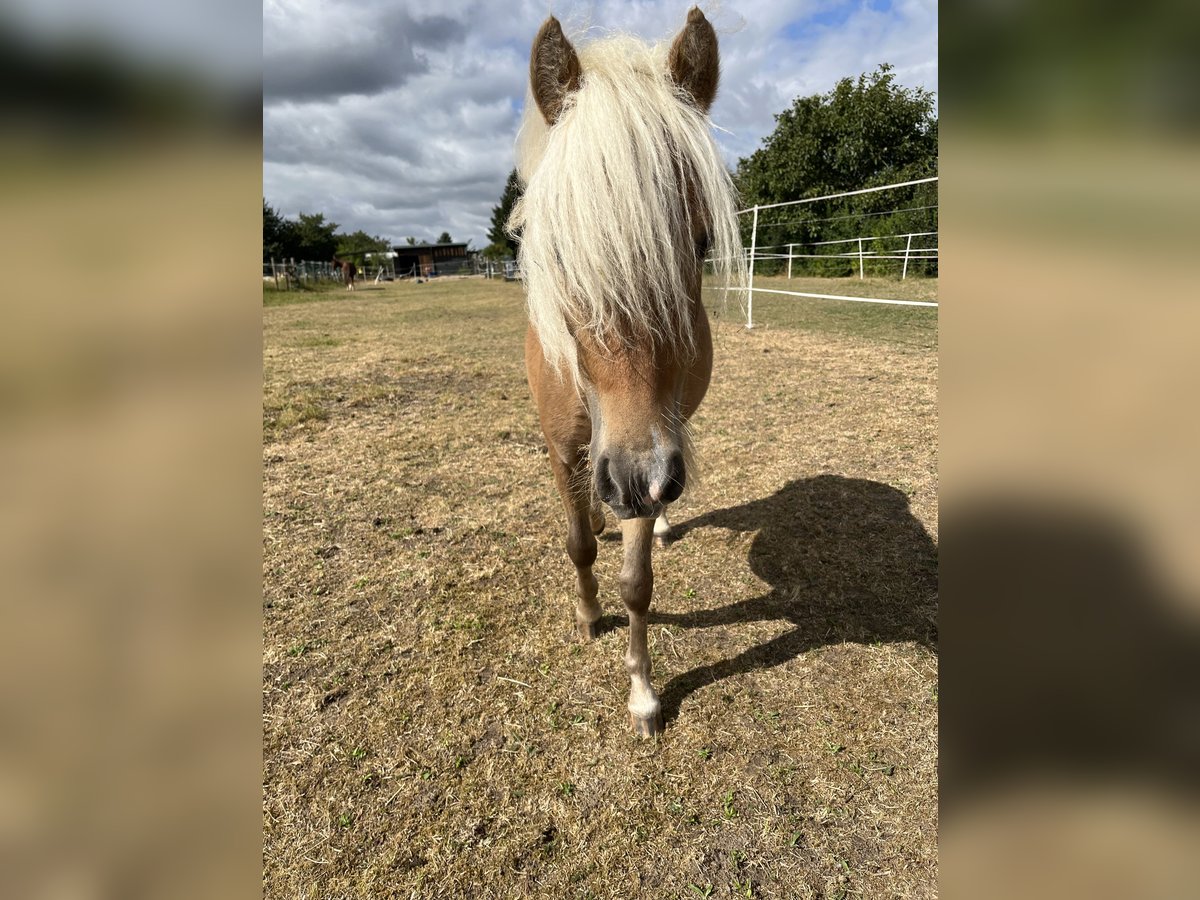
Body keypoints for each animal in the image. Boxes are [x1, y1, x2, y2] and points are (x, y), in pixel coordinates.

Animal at [511, 8, 744, 739]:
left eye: (700, 242)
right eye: (557, 252)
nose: (640, 481)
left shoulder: (649, 452)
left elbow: (637, 583)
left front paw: (642, 692)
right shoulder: (566, 450)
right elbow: (579, 545)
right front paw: (588, 615)